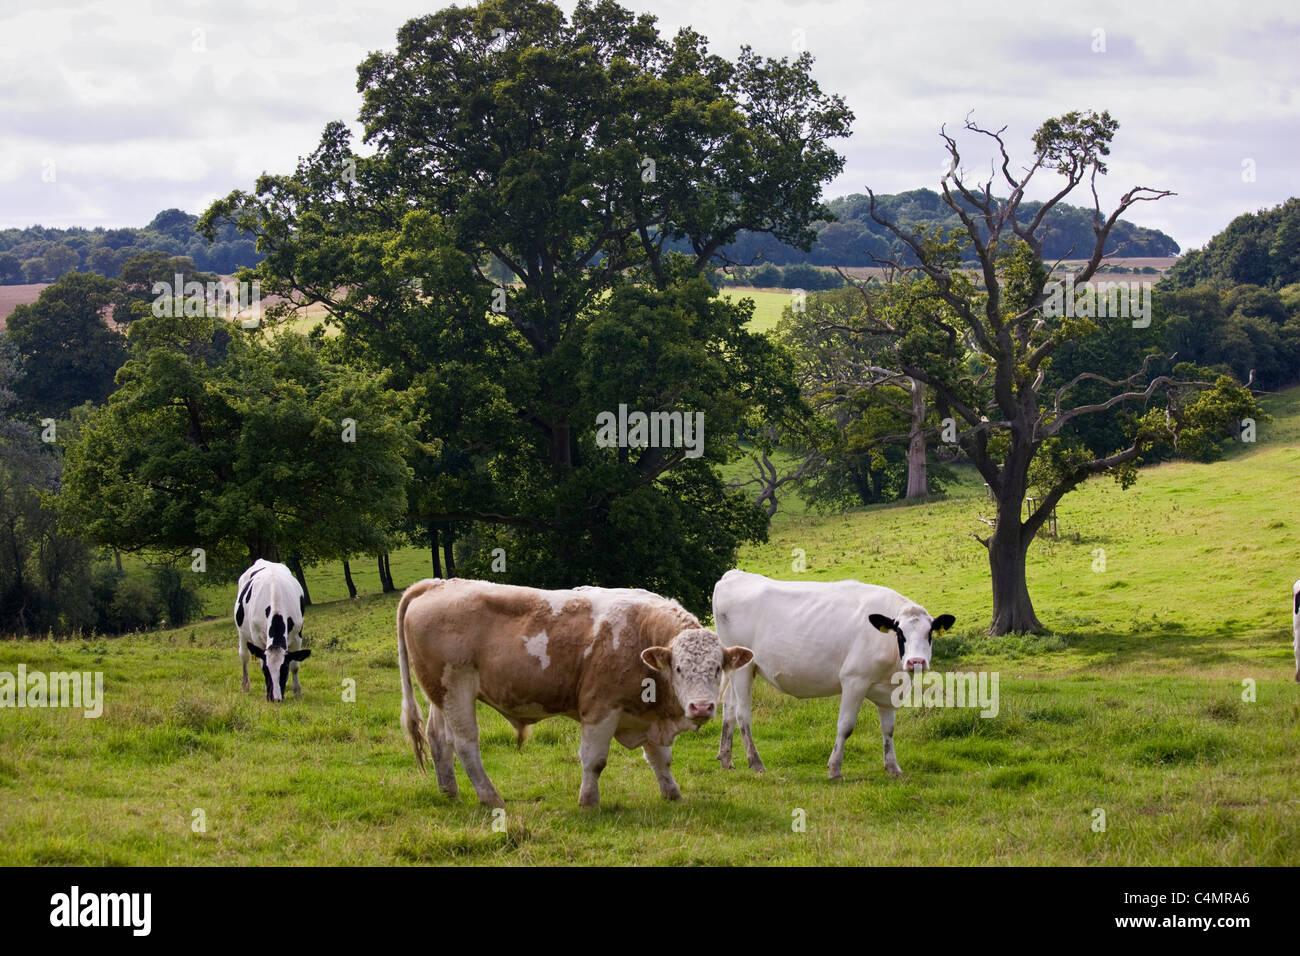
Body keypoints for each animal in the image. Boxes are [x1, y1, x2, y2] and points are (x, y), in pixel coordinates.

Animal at [233, 561, 309, 702]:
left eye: (284, 670)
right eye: (265, 670)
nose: (275, 698)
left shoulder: (298, 636)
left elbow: (295, 666)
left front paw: (297, 691)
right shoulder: (257, 638)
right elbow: (260, 659)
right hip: (241, 632)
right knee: (244, 656)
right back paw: (245, 685)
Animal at [392, 574, 754, 806]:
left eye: (717, 668)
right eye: (679, 669)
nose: (702, 707)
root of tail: (437, 584)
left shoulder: (648, 716)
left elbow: (659, 759)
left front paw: (672, 794)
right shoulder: (600, 708)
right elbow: (594, 760)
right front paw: (588, 801)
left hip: (440, 693)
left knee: (438, 738)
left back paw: (448, 792)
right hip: (457, 689)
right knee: (465, 744)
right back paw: (490, 797)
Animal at [712, 572, 956, 780]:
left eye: (929, 633)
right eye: (900, 633)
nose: (916, 661)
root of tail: (734, 575)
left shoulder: (888, 690)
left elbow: (888, 729)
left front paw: (892, 767)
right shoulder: (854, 679)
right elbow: (846, 725)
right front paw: (835, 769)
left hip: (739, 668)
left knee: (729, 708)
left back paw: (726, 759)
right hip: (744, 669)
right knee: (742, 713)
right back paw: (756, 763)